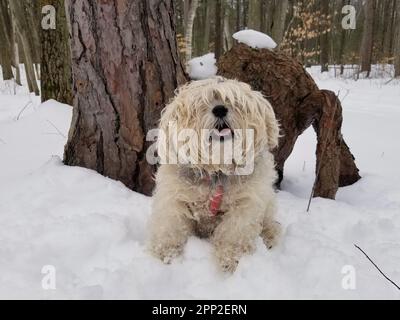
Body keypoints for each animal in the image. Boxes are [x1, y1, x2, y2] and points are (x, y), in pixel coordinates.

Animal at [147, 76, 282, 272]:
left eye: (234, 101)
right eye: (202, 103)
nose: (219, 109)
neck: (217, 170)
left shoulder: (245, 205)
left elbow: (234, 234)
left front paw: (231, 260)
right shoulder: (174, 199)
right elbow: (171, 227)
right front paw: (165, 253)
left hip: (268, 203)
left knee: (270, 222)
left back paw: (270, 235)